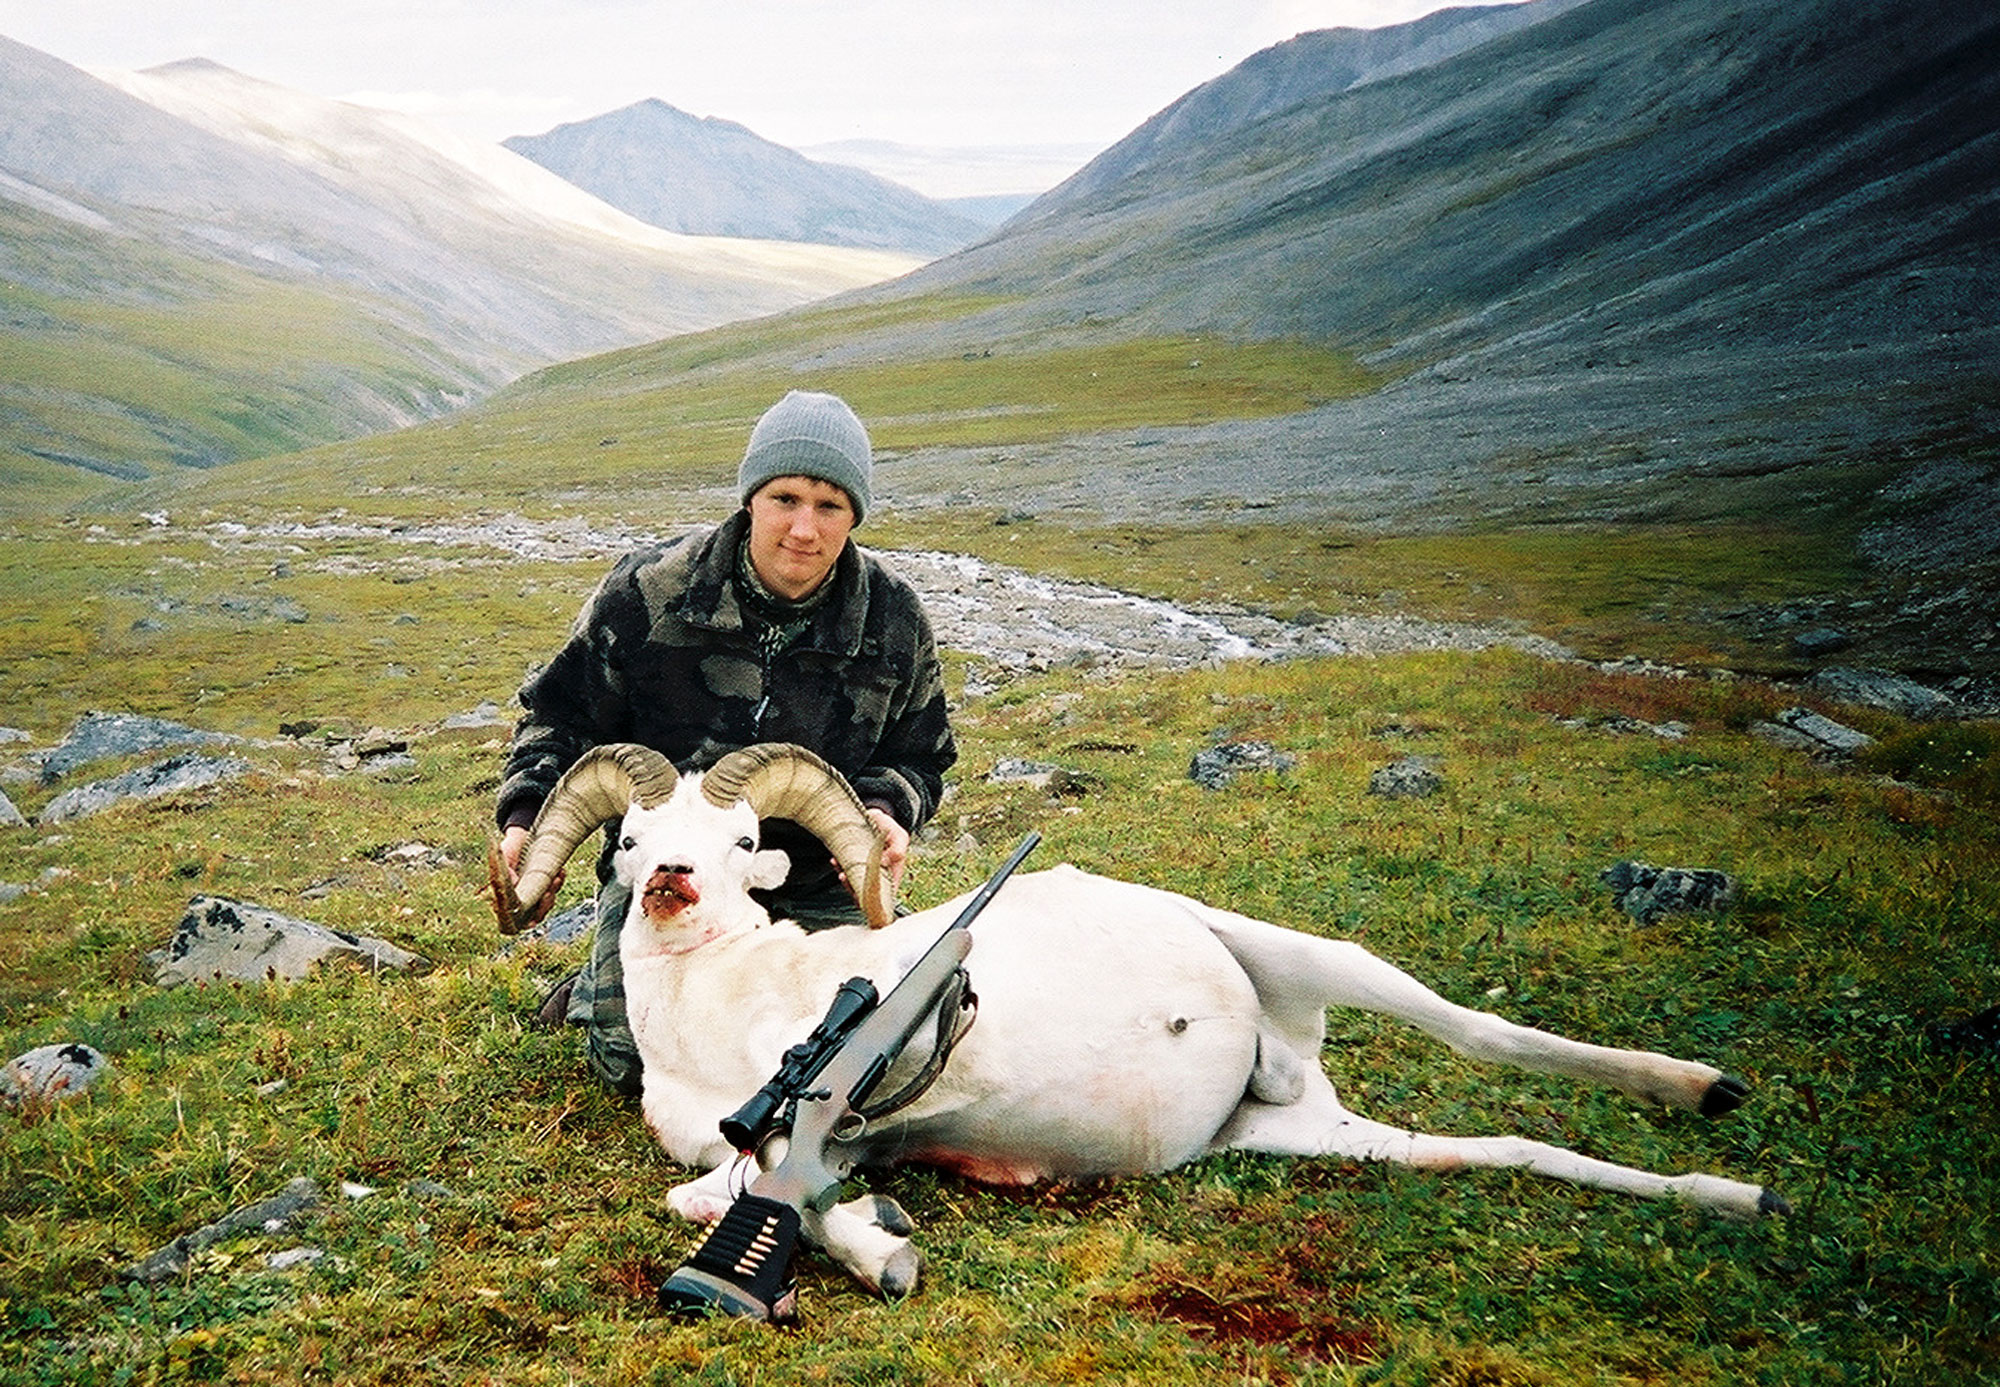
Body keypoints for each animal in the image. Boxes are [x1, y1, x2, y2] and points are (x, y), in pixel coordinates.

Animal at [496, 743, 1784, 1295]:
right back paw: (1734, 1192)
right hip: (1313, 1137)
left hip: (1329, 961)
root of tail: (1272, 1065)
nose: (671, 880)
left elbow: (748, 1194)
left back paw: (1701, 1089)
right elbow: (730, 1197)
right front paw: (880, 1241)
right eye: (629, 837)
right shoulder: (777, 1142)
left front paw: (878, 1244)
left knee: (1484, 1036)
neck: (712, 1005)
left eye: (739, 842)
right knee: (1510, 1149)